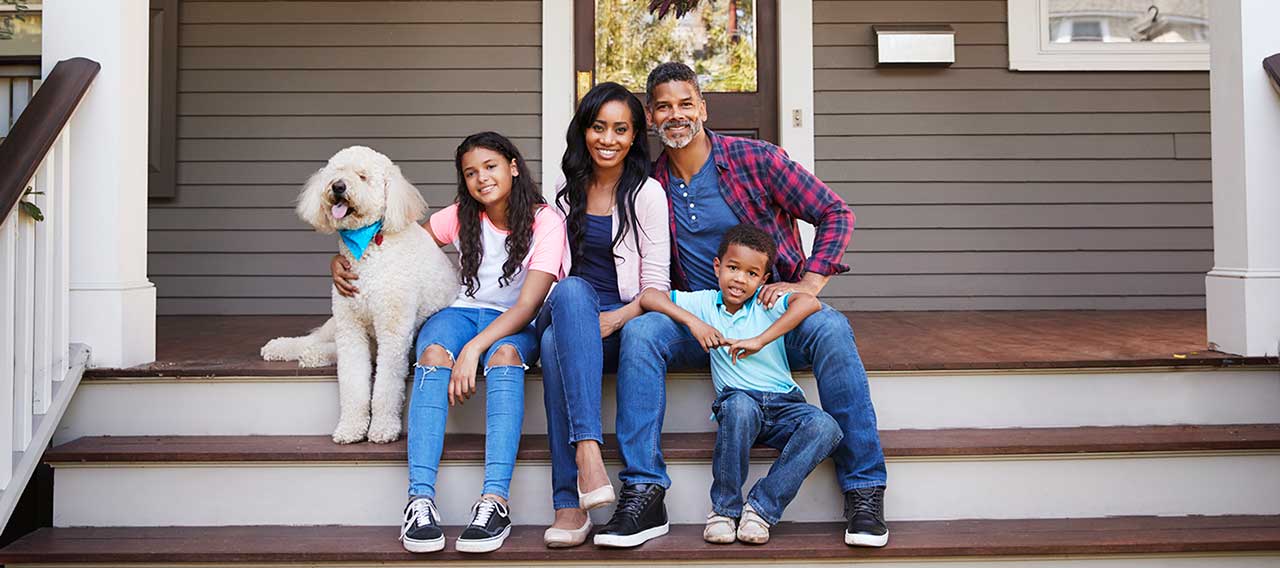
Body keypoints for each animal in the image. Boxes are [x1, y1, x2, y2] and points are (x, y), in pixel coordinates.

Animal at [261, 146, 460, 442]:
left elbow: (386, 388)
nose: (338, 186)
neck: (369, 247)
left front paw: (383, 428)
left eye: (363, 176)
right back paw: (284, 348)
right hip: (335, 325)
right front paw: (351, 427)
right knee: (311, 339)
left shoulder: (392, 331)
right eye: (336, 172)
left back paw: (312, 355)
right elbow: (352, 383)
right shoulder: (349, 326)